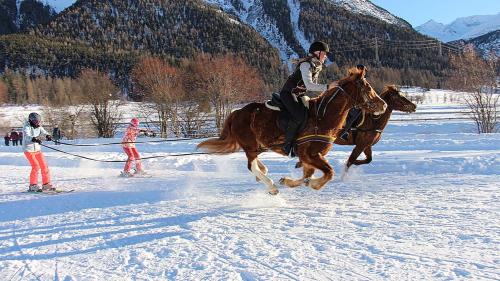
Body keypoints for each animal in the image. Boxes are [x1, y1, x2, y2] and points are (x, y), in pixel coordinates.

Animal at [197, 66, 384, 194]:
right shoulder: (309, 155)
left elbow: (308, 175)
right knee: (252, 165)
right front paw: (311, 184)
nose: (383, 105)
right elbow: (328, 173)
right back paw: (271, 187)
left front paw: (287, 181)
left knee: (257, 165)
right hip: (250, 146)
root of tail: (236, 113)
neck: (323, 117)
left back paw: (265, 177)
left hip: (258, 146)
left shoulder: (310, 157)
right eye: (367, 87)